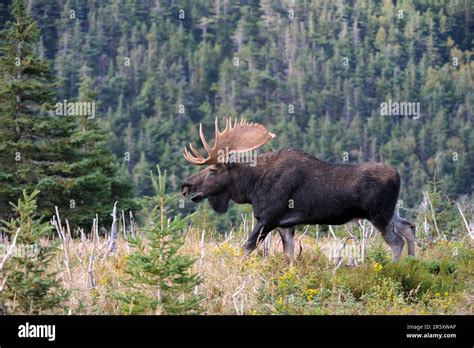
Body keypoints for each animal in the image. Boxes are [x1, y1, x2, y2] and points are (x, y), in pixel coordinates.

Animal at [181, 117, 414, 260]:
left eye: (212, 170)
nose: (186, 186)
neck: (250, 189)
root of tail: (398, 175)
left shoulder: (268, 218)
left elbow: (246, 248)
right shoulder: (285, 224)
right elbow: (289, 255)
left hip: (378, 214)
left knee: (396, 241)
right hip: (390, 212)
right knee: (409, 227)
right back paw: (412, 264)